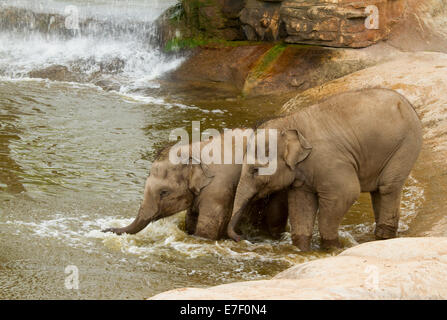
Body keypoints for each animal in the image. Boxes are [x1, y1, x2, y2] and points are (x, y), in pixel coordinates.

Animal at [103, 130, 288, 240]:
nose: (105, 229)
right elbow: (190, 219)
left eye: (164, 192)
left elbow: (207, 227)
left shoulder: (218, 188)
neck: (194, 150)